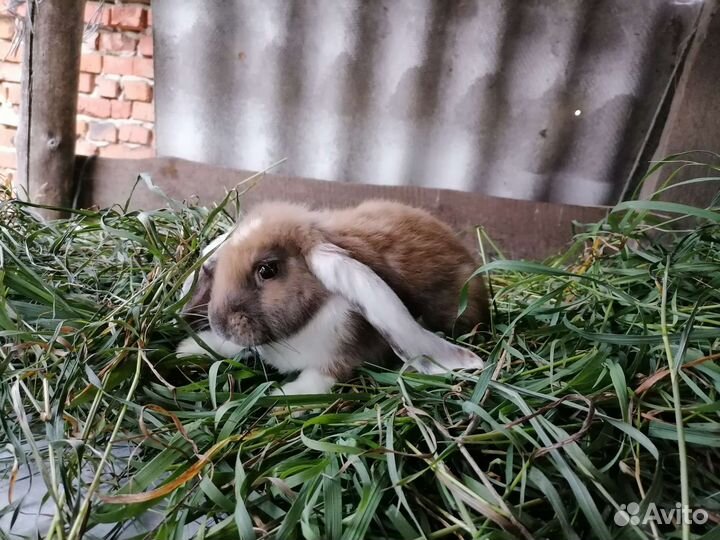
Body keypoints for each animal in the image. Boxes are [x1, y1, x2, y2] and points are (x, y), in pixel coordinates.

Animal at [177, 200, 489, 395]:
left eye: (267, 270)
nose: (218, 322)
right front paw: (188, 348)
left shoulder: (339, 360)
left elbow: (317, 381)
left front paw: (281, 394)